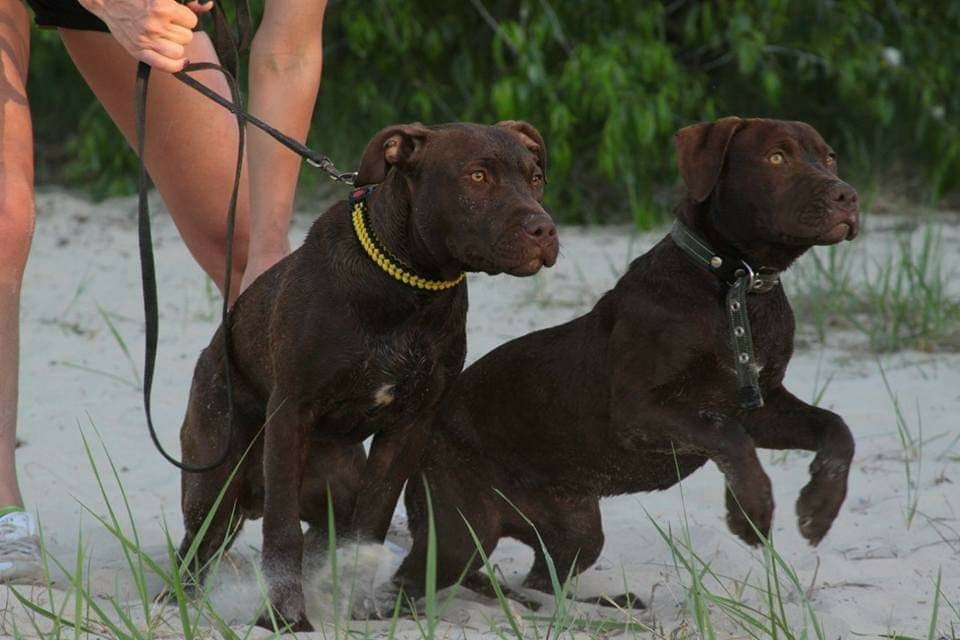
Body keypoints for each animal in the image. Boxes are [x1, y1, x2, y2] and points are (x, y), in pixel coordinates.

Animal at [176, 120, 560, 632]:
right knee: (196, 550)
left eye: (535, 178)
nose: (544, 228)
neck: (408, 285)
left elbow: (371, 525)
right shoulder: (291, 414)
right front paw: (283, 615)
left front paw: (358, 604)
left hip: (334, 487)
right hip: (214, 482)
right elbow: (282, 532)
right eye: (477, 176)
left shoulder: (407, 428)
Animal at [394, 116, 860, 604]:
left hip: (575, 527)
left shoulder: (759, 405)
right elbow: (728, 436)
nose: (847, 196)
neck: (738, 286)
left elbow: (835, 429)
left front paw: (819, 507)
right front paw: (751, 509)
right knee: (409, 583)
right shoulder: (640, 411)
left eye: (829, 158)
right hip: (460, 532)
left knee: (545, 577)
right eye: (777, 157)